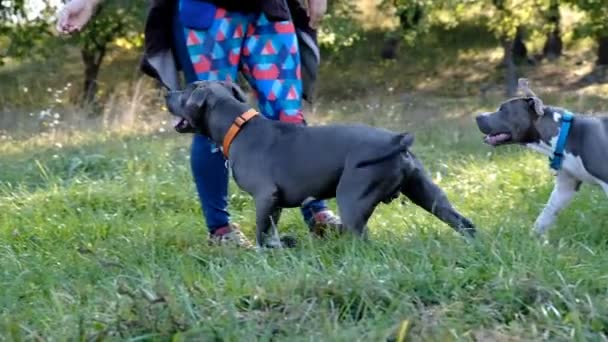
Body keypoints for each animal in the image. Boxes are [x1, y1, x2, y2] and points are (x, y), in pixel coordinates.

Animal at [165, 80, 476, 248]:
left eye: (186, 91)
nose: (167, 93)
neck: (238, 126)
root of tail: (396, 140)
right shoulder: (274, 202)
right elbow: (271, 230)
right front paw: (279, 247)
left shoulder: (265, 196)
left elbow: (260, 232)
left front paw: (261, 253)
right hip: (428, 193)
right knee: (464, 223)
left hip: (352, 200)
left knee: (363, 238)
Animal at [478, 79, 604, 236]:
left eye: (503, 110)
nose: (477, 116)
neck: (564, 134)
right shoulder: (565, 187)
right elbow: (546, 215)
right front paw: (532, 239)